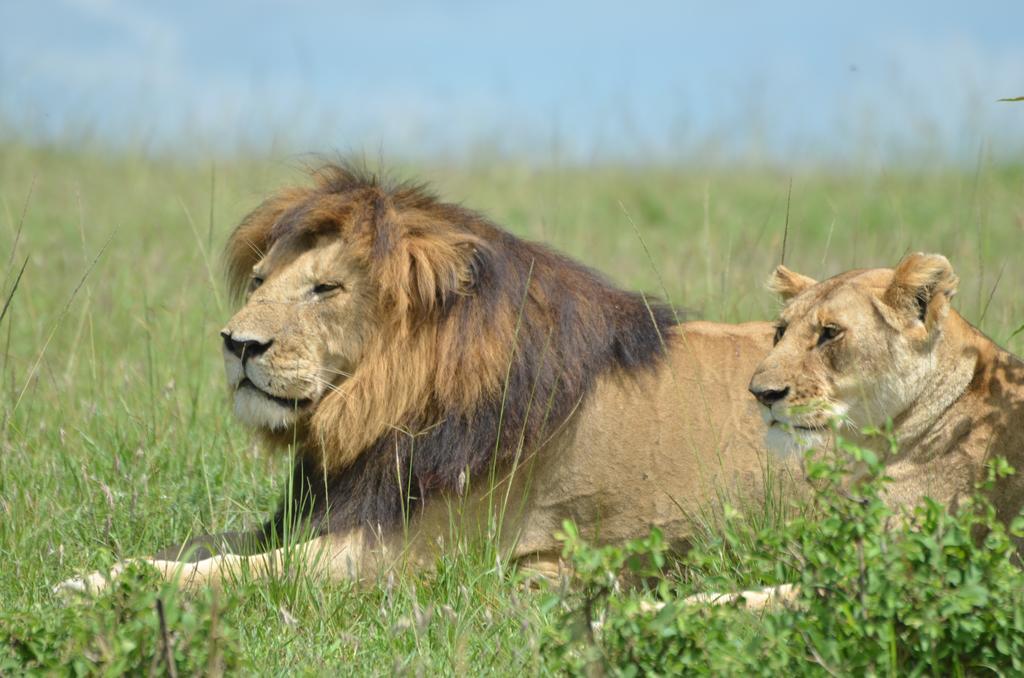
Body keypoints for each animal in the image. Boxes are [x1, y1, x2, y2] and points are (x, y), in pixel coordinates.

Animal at [59, 164, 790, 594]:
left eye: (325, 288)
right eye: (261, 281)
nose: (237, 345)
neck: (377, 411)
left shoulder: (403, 555)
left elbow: (237, 570)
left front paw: (102, 586)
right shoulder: (334, 507)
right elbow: (207, 543)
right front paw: (103, 566)